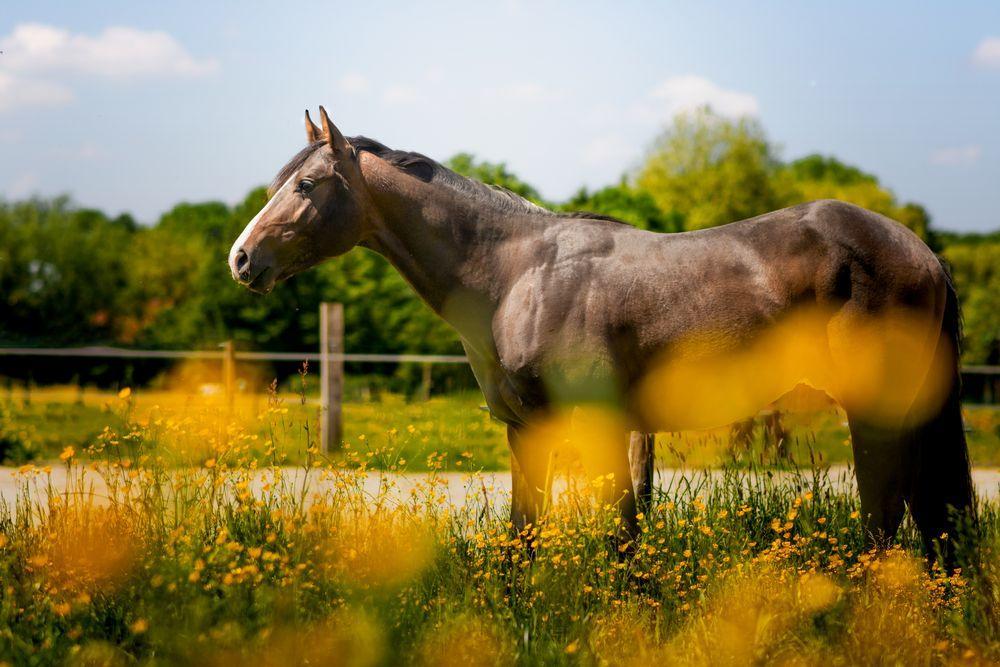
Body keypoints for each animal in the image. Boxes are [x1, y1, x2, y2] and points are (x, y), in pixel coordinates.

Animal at [229, 107, 976, 568]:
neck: (517, 273)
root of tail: (921, 251)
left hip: (875, 413)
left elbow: (622, 539)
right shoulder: (526, 432)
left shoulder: (603, 426)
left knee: (886, 519)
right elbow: (524, 535)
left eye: (308, 183)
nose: (242, 258)